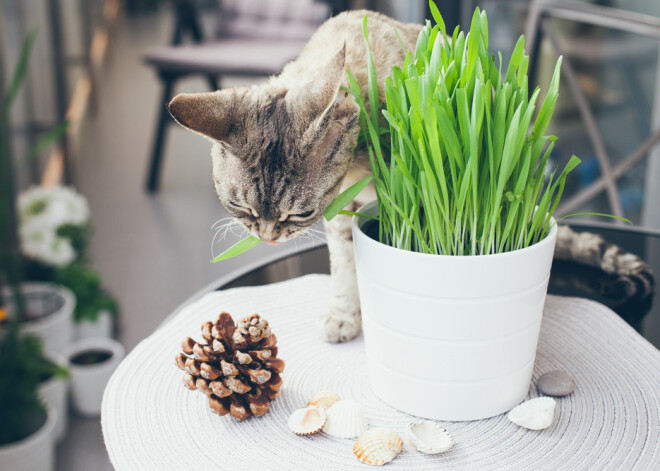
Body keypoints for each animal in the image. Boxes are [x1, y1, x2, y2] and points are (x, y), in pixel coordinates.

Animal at [168, 10, 652, 342]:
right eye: (240, 208)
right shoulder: (341, 213)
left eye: (298, 214)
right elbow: (344, 267)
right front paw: (345, 315)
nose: (267, 237)